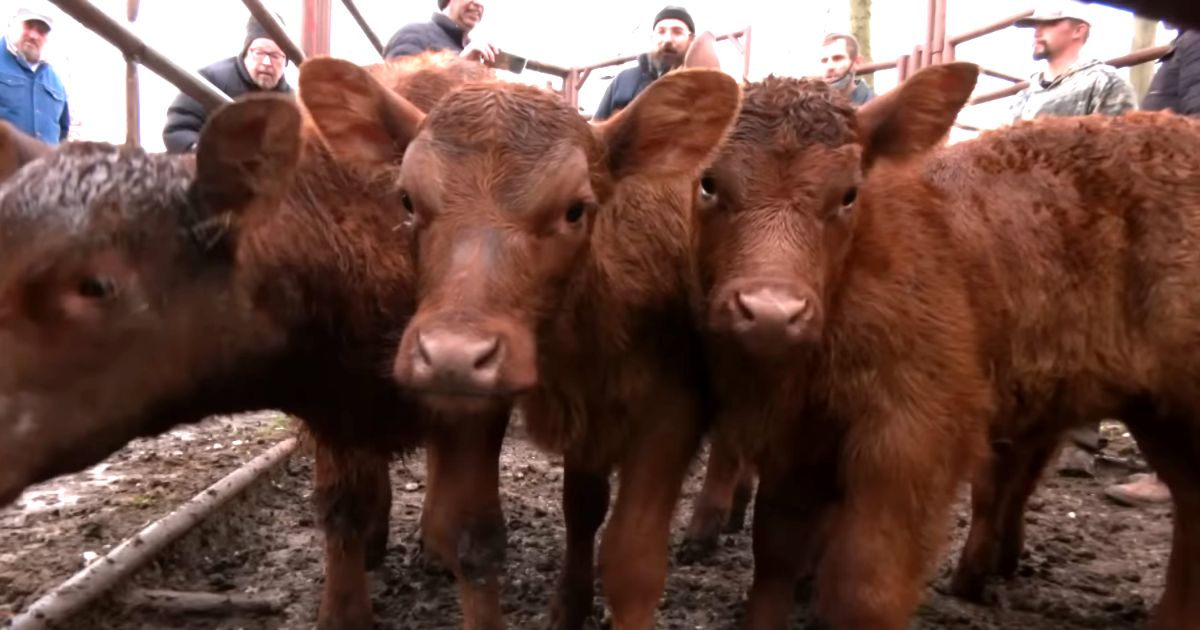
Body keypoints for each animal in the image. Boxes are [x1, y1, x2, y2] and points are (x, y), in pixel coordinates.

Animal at [691, 65, 988, 628]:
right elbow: (775, 546)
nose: (770, 314)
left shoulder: (908, 442)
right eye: (708, 183)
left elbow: (866, 586)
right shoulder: (789, 434)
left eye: (849, 195)